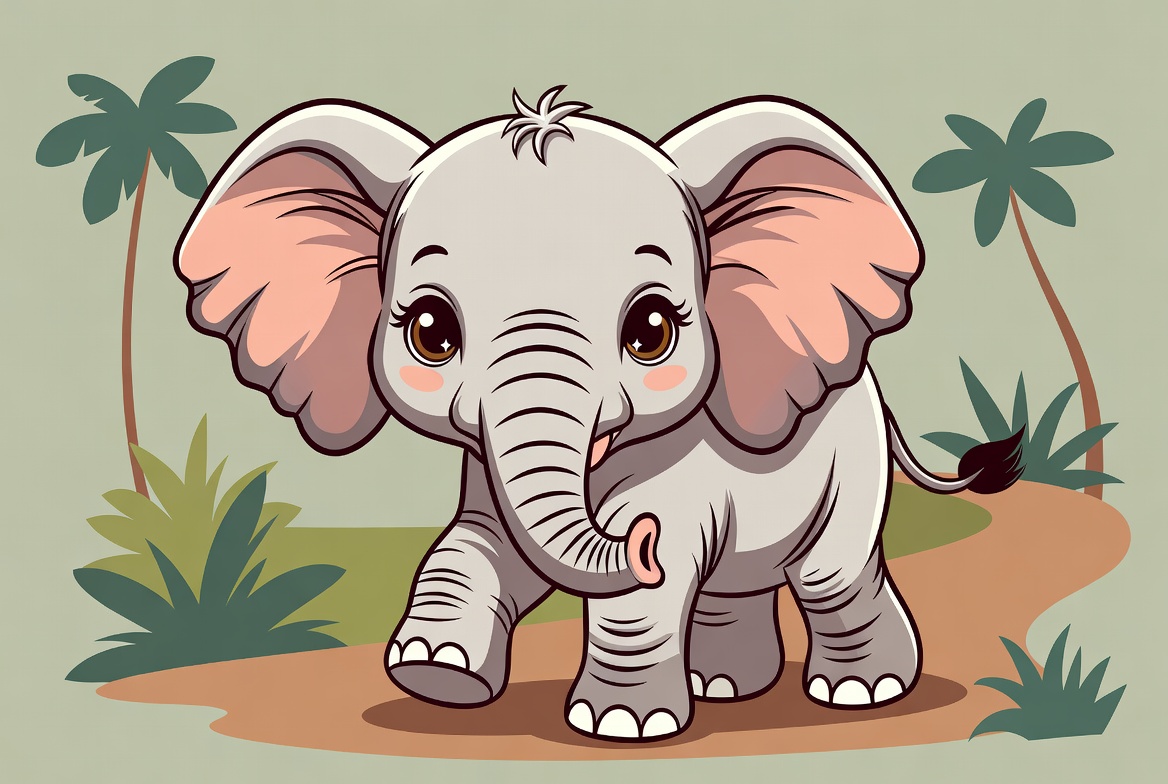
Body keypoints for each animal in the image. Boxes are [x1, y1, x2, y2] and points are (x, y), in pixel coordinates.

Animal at [175, 87, 1023, 741]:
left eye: (650, 331)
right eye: (430, 332)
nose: (638, 539)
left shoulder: (681, 469)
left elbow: (643, 591)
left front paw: (620, 727)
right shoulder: (487, 465)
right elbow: (479, 547)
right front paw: (436, 673)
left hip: (851, 467)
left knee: (831, 574)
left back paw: (859, 692)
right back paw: (722, 687)